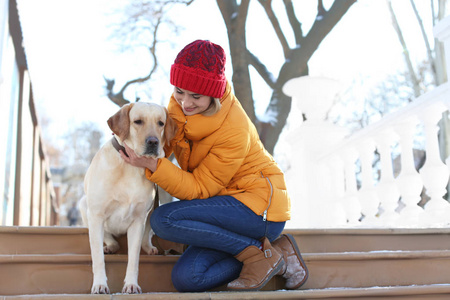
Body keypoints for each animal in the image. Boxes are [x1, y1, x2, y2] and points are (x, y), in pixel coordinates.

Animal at [78, 102, 177, 294]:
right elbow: (97, 258)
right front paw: (99, 284)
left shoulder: (138, 220)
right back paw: (110, 246)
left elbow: (134, 259)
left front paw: (131, 284)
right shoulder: (96, 215)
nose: (153, 142)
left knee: (146, 236)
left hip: (152, 209)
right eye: (137, 121)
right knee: (109, 239)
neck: (130, 167)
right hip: (84, 205)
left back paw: (150, 247)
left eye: (161, 123)